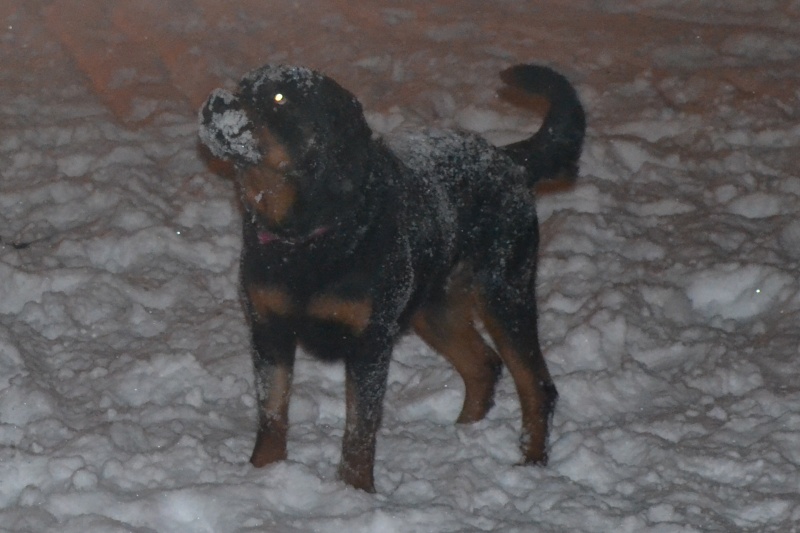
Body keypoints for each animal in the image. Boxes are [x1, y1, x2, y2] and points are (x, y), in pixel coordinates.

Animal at [198, 62, 588, 490]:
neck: (306, 234)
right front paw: (262, 472)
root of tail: (509, 159)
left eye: (280, 97)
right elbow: (272, 411)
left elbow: (360, 425)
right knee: (484, 364)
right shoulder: (269, 328)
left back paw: (531, 463)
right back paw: (462, 435)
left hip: (504, 291)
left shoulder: (370, 340)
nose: (215, 100)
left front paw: (354, 490)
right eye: (241, 84)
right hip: (433, 307)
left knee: (537, 385)